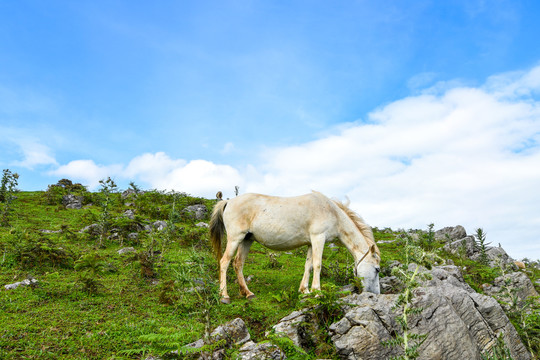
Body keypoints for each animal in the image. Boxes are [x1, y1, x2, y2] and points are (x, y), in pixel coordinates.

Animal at [209, 191, 382, 304]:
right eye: (377, 269)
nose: (375, 294)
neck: (331, 211)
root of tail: (228, 202)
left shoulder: (311, 242)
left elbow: (308, 265)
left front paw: (305, 291)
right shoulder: (319, 238)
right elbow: (317, 265)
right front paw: (317, 292)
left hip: (246, 240)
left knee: (238, 263)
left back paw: (247, 293)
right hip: (235, 238)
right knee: (224, 262)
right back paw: (224, 296)